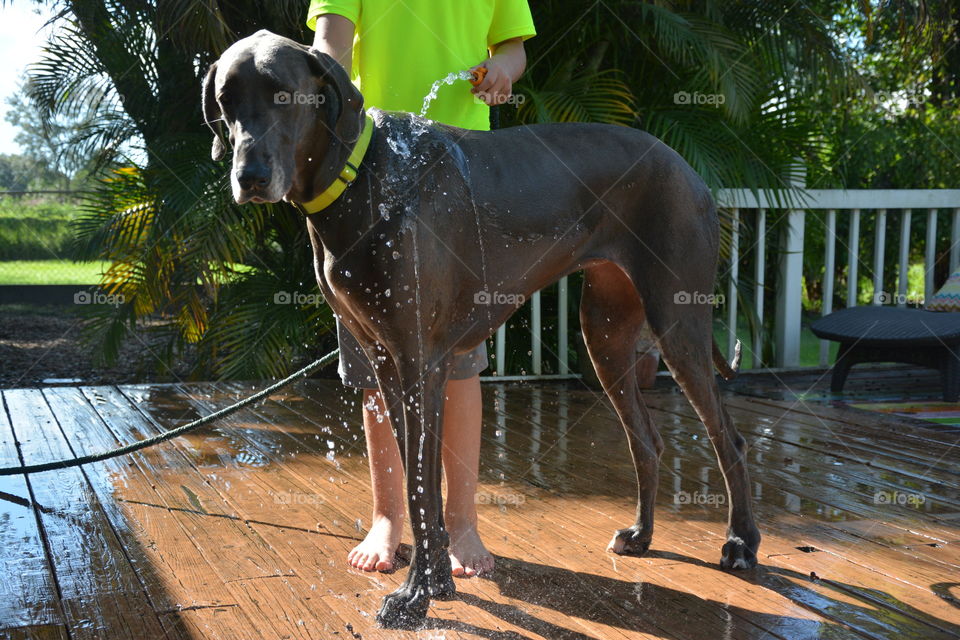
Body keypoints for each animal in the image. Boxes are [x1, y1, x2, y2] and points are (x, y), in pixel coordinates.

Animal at [206, 31, 760, 632]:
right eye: (226, 102)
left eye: (283, 95)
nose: (248, 178)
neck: (361, 175)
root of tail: (683, 164)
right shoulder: (385, 362)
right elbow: (417, 485)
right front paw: (436, 584)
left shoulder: (419, 364)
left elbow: (423, 485)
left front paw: (415, 598)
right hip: (606, 337)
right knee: (647, 440)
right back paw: (641, 535)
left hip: (677, 321)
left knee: (727, 438)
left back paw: (740, 543)